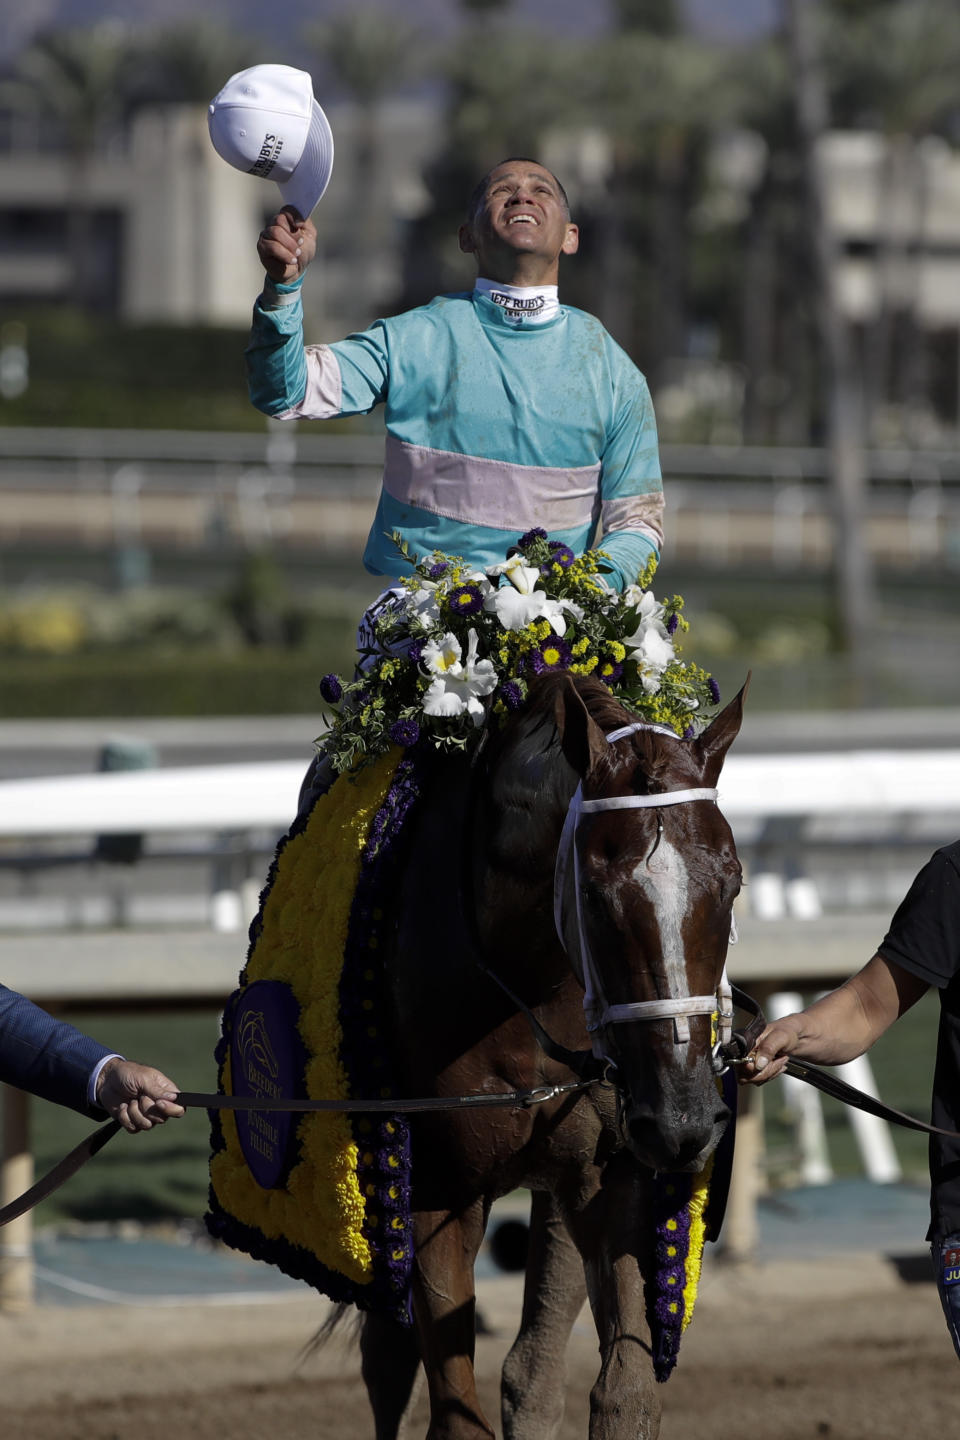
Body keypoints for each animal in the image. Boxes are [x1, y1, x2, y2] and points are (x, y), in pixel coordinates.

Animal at [349, 668, 742, 1434]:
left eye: (734, 881)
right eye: (593, 894)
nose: (684, 1121)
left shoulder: (614, 1167)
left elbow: (623, 1394)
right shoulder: (439, 1190)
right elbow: (452, 1408)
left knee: (530, 1373)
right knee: (387, 1361)